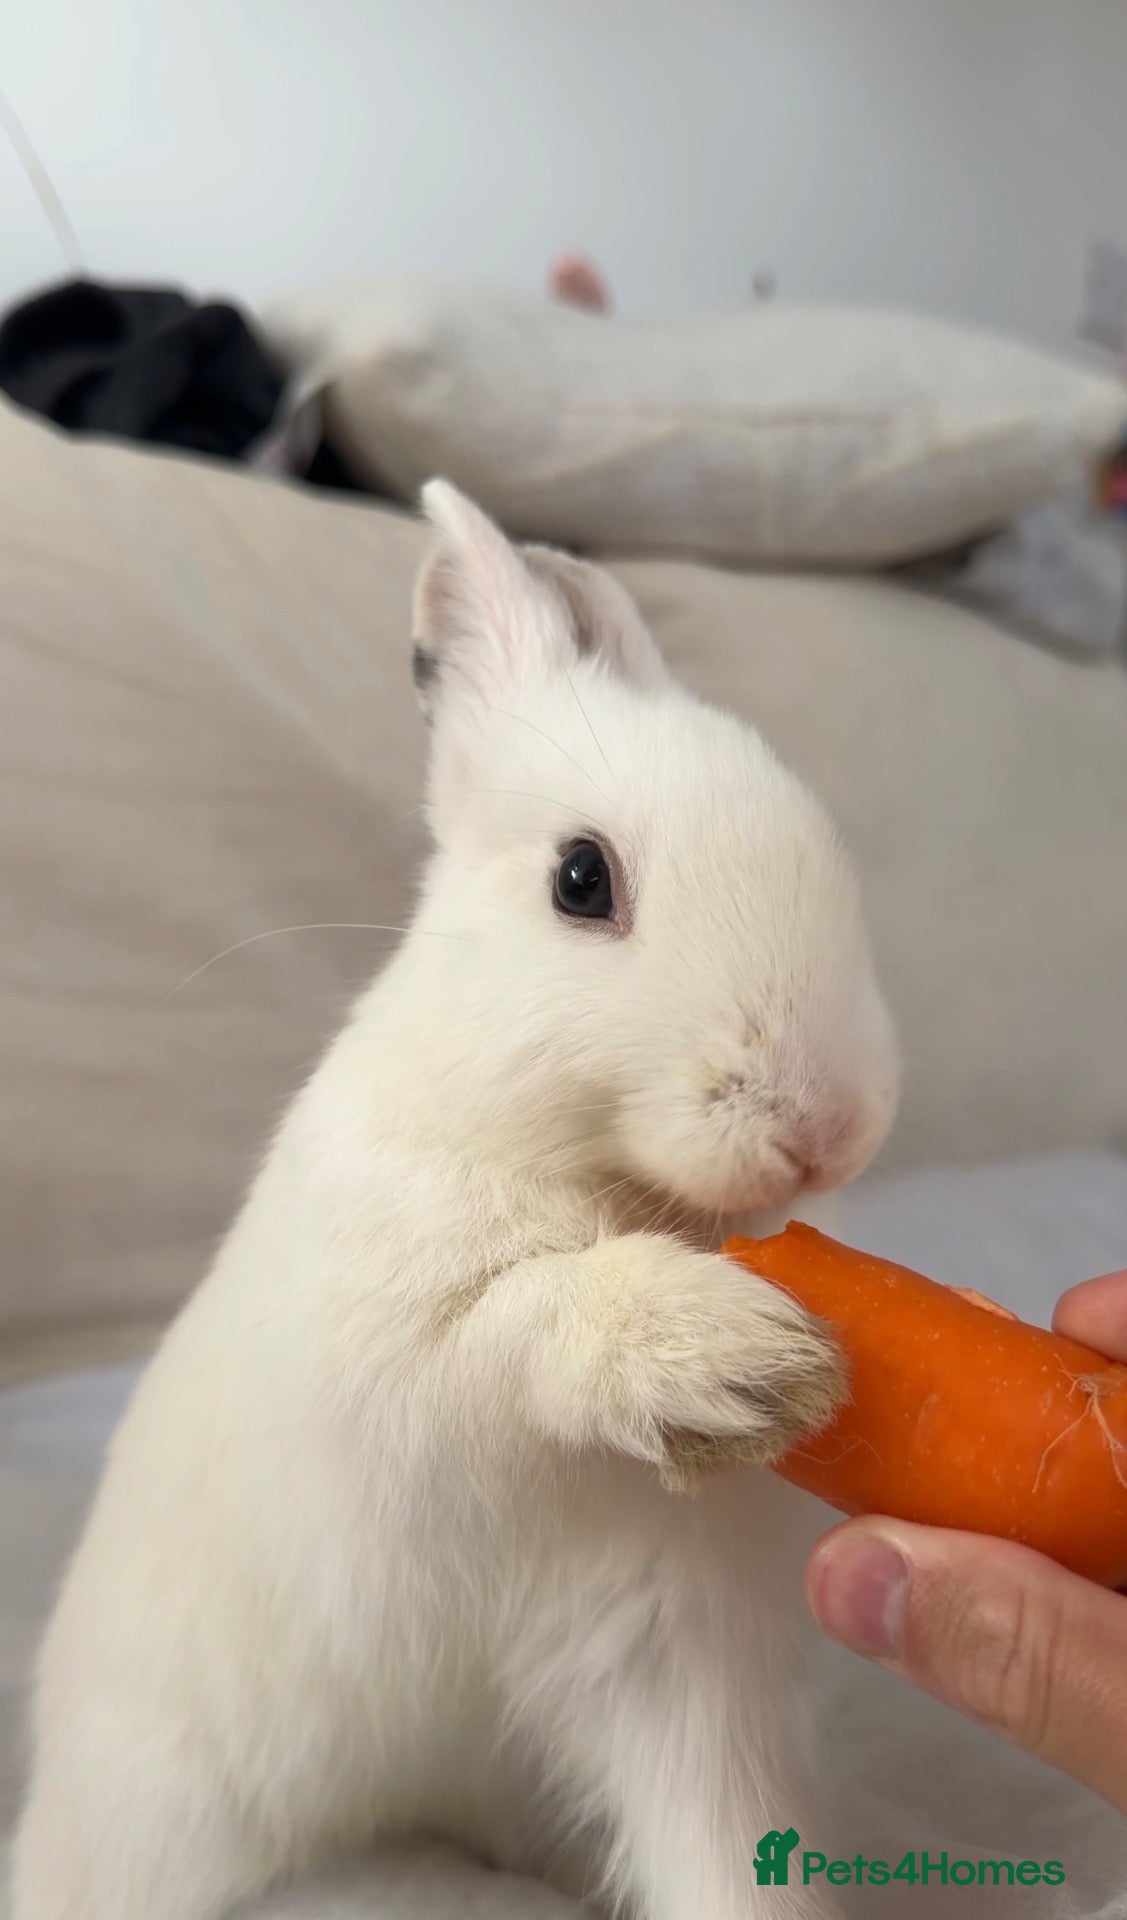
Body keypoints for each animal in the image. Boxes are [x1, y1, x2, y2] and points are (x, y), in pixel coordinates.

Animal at [11, 481, 899, 1920]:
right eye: (580, 880)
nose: (821, 1129)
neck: (596, 1173)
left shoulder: (680, 1659)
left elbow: (726, 1848)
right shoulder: (398, 1372)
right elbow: (518, 1327)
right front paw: (734, 1358)